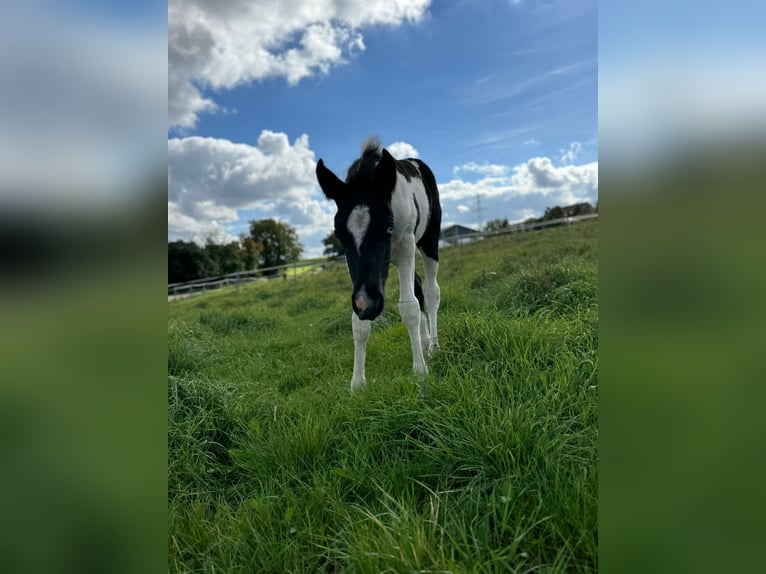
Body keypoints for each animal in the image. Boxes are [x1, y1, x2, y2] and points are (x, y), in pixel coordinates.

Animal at [316, 139, 444, 392]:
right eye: (340, 236)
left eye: (388, 227)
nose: (369, 304)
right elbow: (358, 322)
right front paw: (357, 384)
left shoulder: (406, 243)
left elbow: (409, 307)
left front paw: (420, 372)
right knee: (417, 285)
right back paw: (425, 342)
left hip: (428, 239)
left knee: (431, 291)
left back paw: (433, 347)